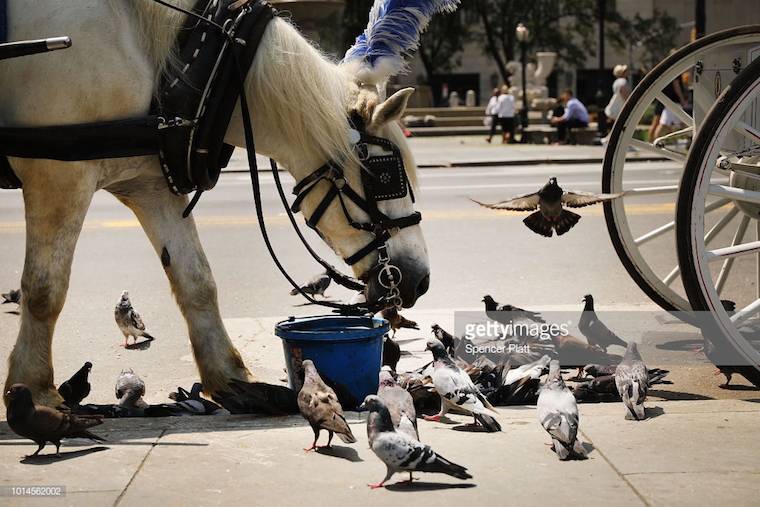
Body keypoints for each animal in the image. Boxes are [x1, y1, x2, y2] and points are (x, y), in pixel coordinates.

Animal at [0, 0, 430, 407]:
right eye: (386, 177)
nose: (421, 279)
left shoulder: (150, 184)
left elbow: (196, 280)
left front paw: (230, 376)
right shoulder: (58, 174)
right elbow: (44, 289)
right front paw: (34, 388)